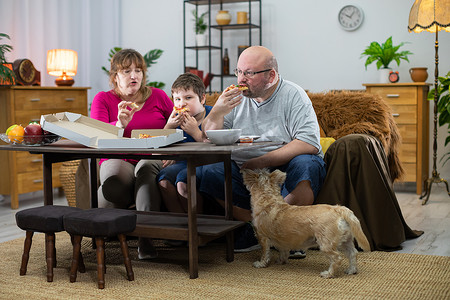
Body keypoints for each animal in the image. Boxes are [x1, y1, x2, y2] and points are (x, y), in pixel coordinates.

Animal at [241, 168, 370, 278]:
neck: (268, 201)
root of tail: (338, 209)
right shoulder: (283, 241)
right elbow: (283, 251)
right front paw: (281, 261)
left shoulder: (262, 237)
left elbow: (265, 253)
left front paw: (260, 264)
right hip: (345, 241)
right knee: (353, 253)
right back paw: (351, 270)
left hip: (326, 243)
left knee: (337, 258)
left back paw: (328, 273)